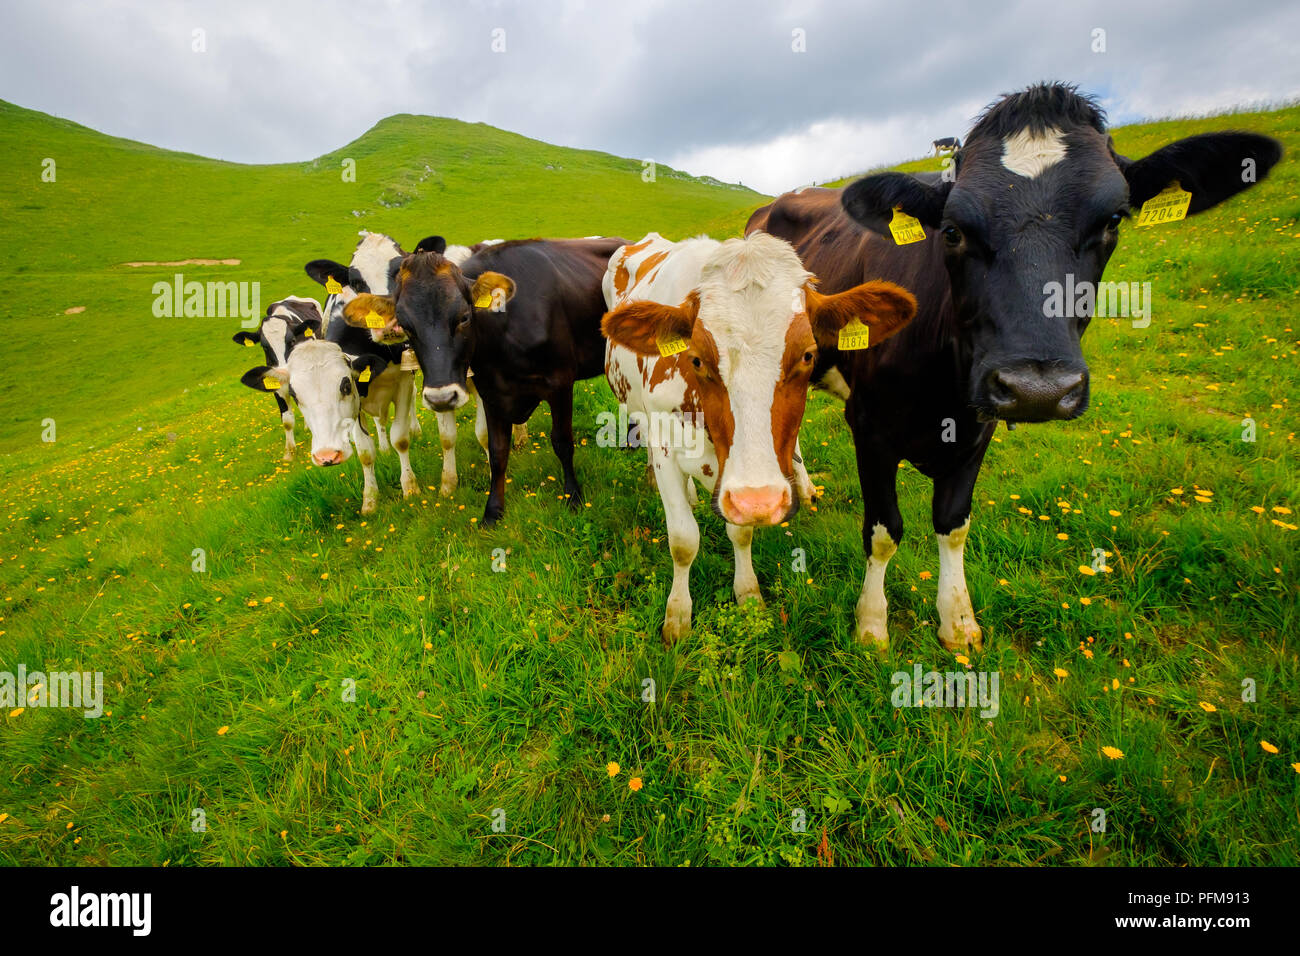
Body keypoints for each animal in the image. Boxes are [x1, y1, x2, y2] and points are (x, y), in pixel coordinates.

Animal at [232, 296, 323, 459]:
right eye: (264, 347)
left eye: (292, 341)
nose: (284, 372)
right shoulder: (276, 385)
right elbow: (287, 420)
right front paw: (289, 453)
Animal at [339, 237, 626, 525]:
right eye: (407, 327)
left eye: (464, 317)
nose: (441, 398)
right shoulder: (491, 391)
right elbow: (497, 452)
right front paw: (493, 511)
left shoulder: (560, 383)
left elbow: (562, 442)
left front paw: (573, 496)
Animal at [602, 231, 916, 641]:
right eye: (696, 358)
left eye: (808, 355)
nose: (763, 500)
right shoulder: (667, 446)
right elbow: (683, 540)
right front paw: (678, 615)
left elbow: (741, 533)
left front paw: (748, 593)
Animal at [746, 82, 1281, 653]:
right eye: (952, 230)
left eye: (1113, 220)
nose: (1037, 388)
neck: (943, 389)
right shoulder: (870, 425)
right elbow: (884, 530)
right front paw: (871, 626)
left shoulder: (977, 428)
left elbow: (953, 523)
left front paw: (958, 622)